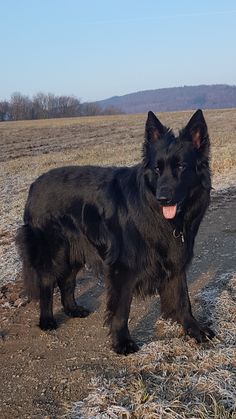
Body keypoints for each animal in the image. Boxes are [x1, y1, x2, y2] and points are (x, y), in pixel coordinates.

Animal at [15, 110, 215, 354]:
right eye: (157, 169)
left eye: (181, 167)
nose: (163, 198)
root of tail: (34, 185)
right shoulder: (122, 268)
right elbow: (121, 310)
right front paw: (122, 342)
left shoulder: (175, 262)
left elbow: (182, 299)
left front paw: (194, 329)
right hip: (55, 252)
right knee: (46, 283)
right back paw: (47, 320)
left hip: (76, 250)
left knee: (67, 281)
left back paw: (73, 309)